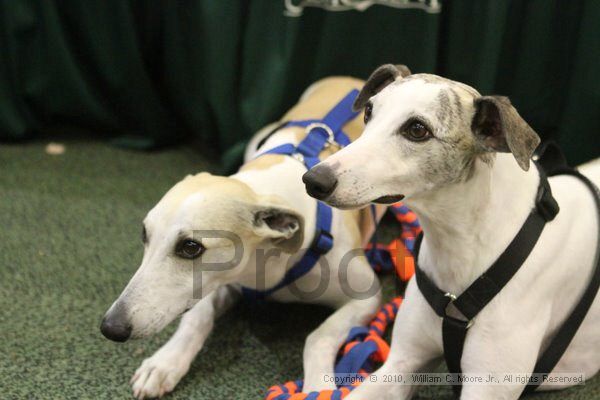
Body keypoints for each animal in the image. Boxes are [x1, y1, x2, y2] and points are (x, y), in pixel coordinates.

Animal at [99, 76, 392, 398]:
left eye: (190, 247)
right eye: (144, 234)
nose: (110, 328)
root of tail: (347, 79)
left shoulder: (367, 297)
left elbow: (317, 336)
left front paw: (318, 386)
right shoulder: (220, 281)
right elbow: (196, 317)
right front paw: (164, 364)